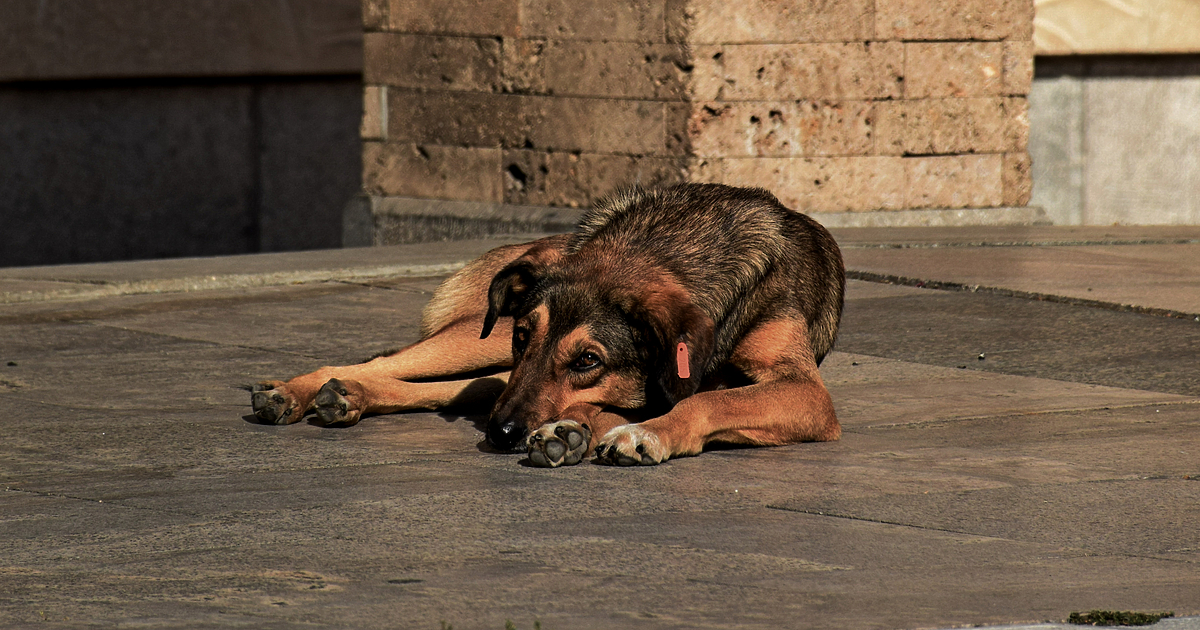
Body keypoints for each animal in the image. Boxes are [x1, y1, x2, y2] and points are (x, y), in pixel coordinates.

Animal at [250, 178, 844, 463]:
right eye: (522, 335)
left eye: (588, 360)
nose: (501, 434)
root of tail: (540, 243)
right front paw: (593, 428)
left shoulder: (803, 390)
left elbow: (706, 400)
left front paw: (630, 431)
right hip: (477, 341)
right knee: (385, 361)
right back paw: (297, 392)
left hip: (486, 366)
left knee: (462, 389)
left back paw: (346, 396)